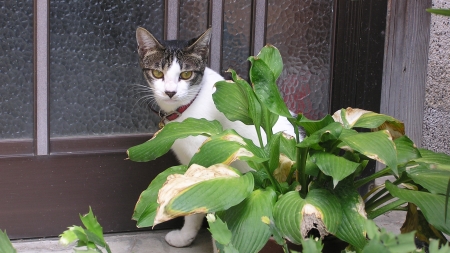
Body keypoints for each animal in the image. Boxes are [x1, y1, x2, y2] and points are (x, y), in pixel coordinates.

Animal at [135, 27, 298, 247]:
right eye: (157, 73)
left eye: (186, 74)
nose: (170, 92)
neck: (185, 111)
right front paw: (187, 237)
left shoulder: (210, 161)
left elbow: (201, 206)